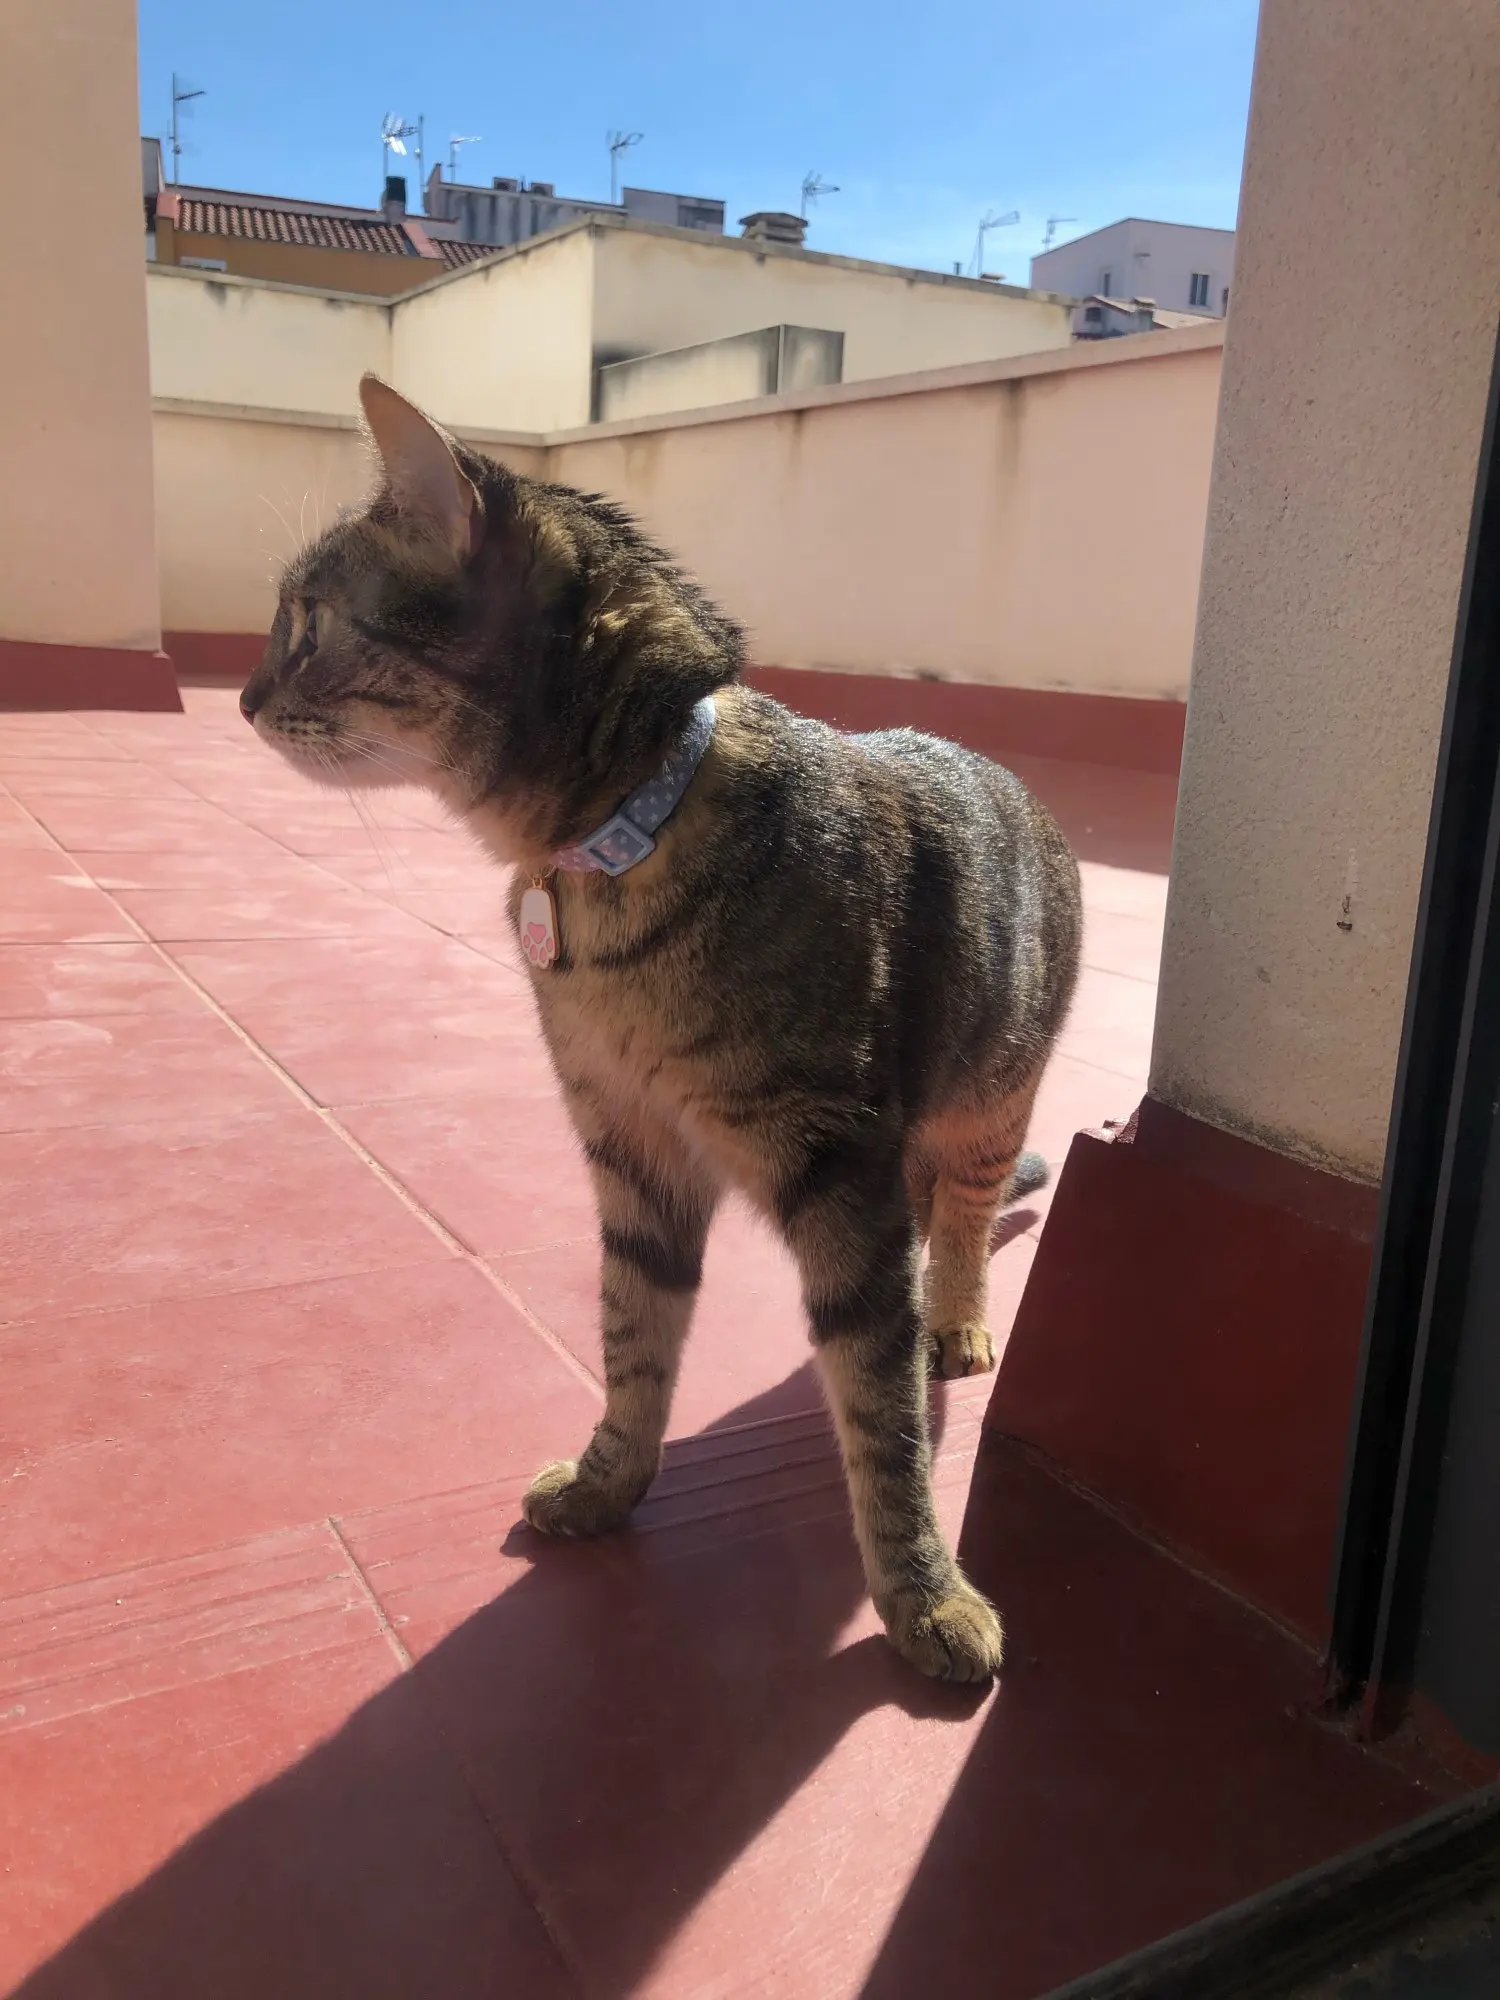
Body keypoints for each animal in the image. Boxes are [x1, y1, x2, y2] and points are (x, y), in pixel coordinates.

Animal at [239, 375, 1082, 1682]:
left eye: (309, 623)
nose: (240, 695)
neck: (620, 833)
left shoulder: (840, 1169)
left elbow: (880, 1414)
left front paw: (923, 1594)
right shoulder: (631, 1152)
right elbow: (633, 1339)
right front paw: (606, 1484)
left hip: (987, 1103)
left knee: (960, 1220)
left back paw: (955, 1320)